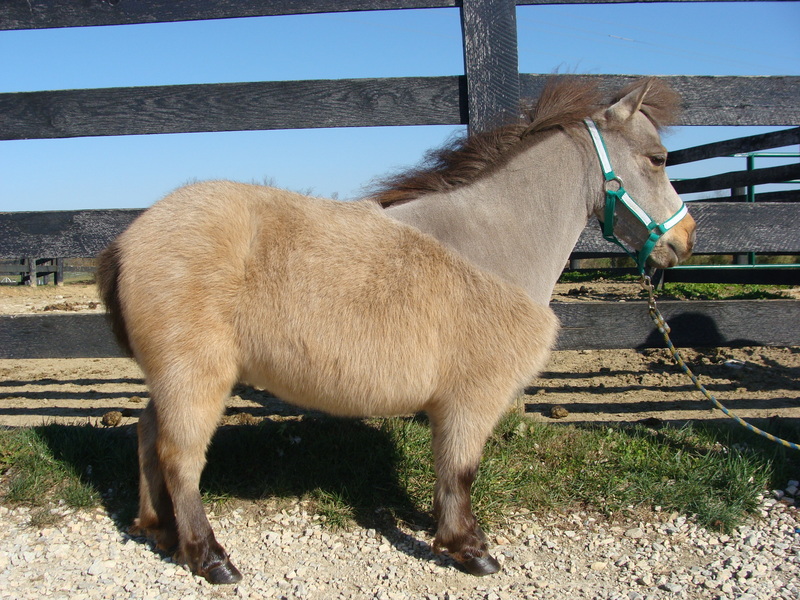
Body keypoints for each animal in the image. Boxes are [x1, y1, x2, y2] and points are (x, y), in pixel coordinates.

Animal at [96, 76, 695, 585]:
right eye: (659, 159)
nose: (686, 238)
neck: (493, 246)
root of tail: (127, 241)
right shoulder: (472, 399)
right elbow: (460, 471)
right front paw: (468, 548)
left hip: (173, 379)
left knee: (149, 434)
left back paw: (159, 530)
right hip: (197, 378)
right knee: (181, 457)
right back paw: (209, 556)